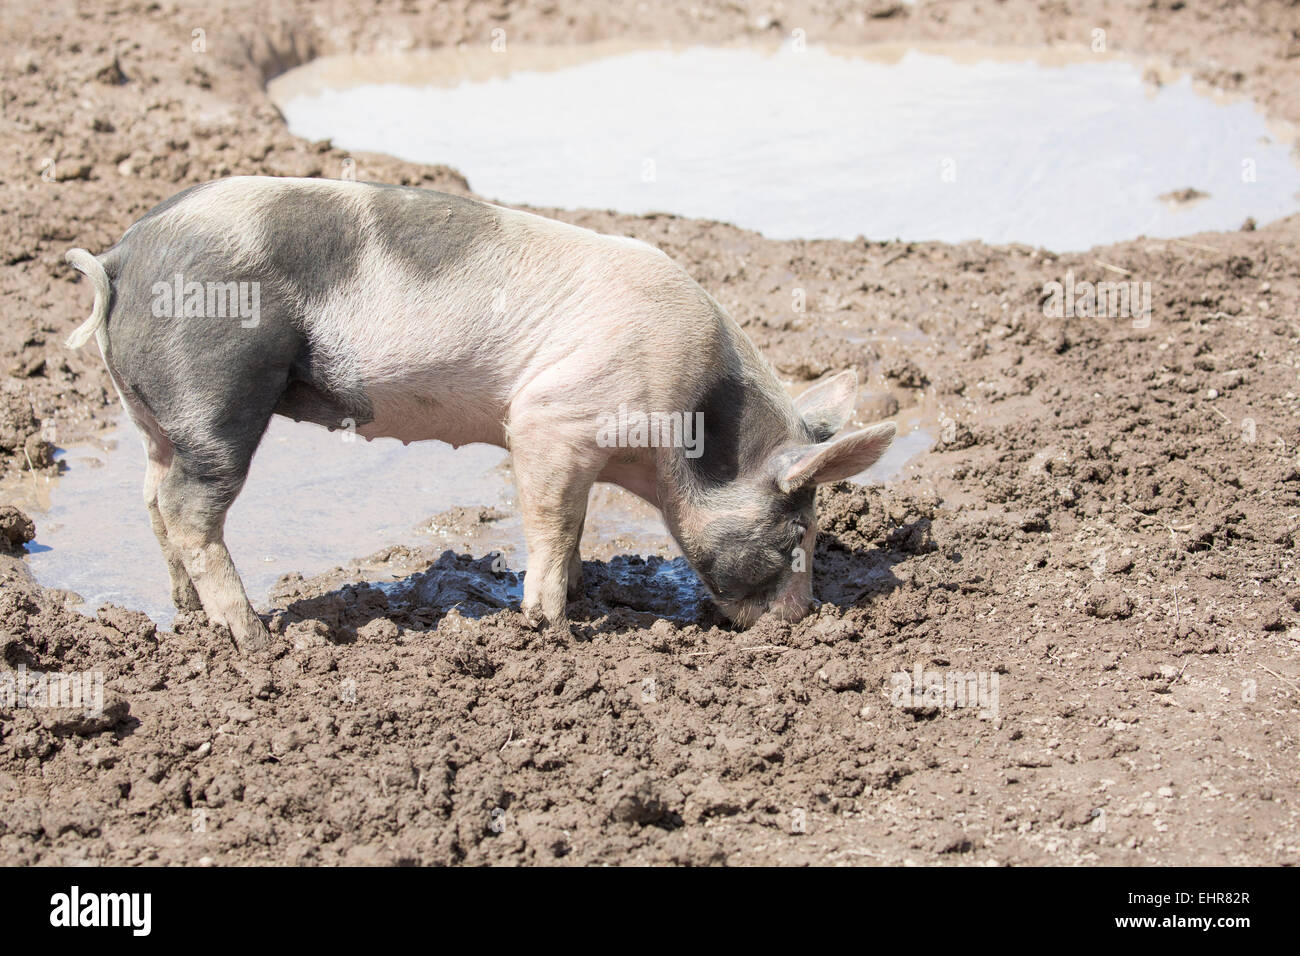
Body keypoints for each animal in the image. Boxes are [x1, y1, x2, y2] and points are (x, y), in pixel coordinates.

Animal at [63, 178, 894, 650]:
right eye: (793, 535)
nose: (801, 622)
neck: (683, 426)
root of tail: (123, 256)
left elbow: (575, 524)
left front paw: (581, 594)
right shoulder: (549, 419)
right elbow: (551, 524)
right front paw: (552, 626)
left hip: (158, 413)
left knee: (152, 498)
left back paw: (188, 617)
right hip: (218, 388)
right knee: (190, 508)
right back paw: (253, 639)